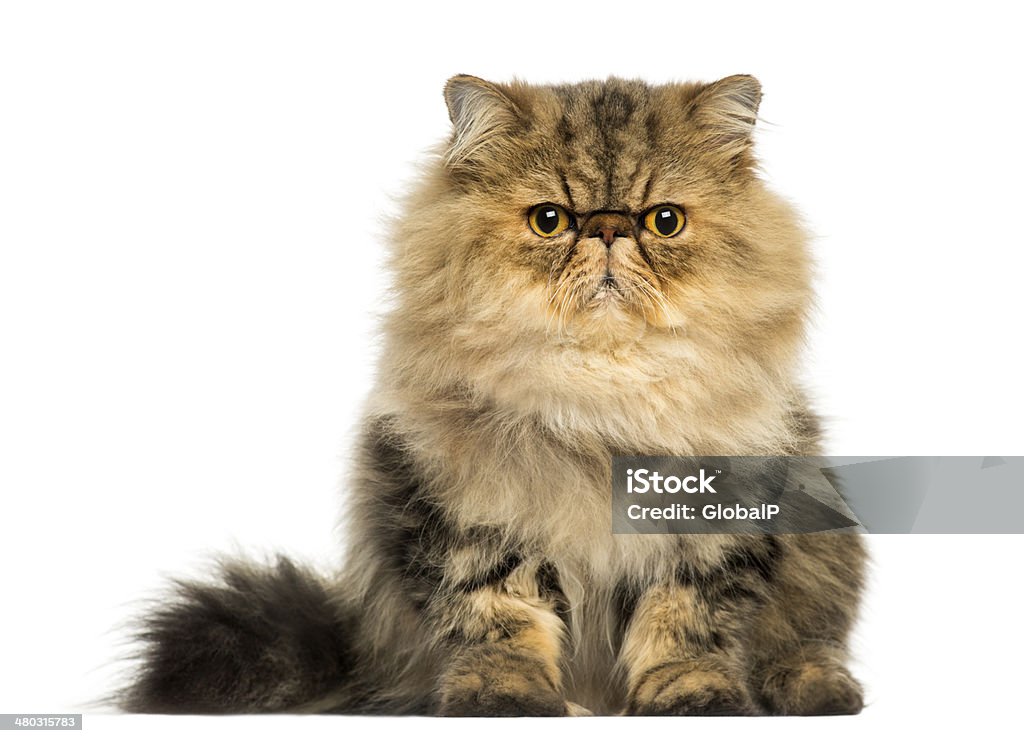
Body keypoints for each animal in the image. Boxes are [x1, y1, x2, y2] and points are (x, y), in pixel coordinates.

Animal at [123, 74, 868, 716]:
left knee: (804, 645)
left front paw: (693, 695)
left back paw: (820, 690)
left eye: (663, 221)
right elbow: (499, 620)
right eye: (550, 220)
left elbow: (685, 625)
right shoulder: (471, 513)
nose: (606, 229)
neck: (599, 401)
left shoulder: (713, 523)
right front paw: (506, 697)